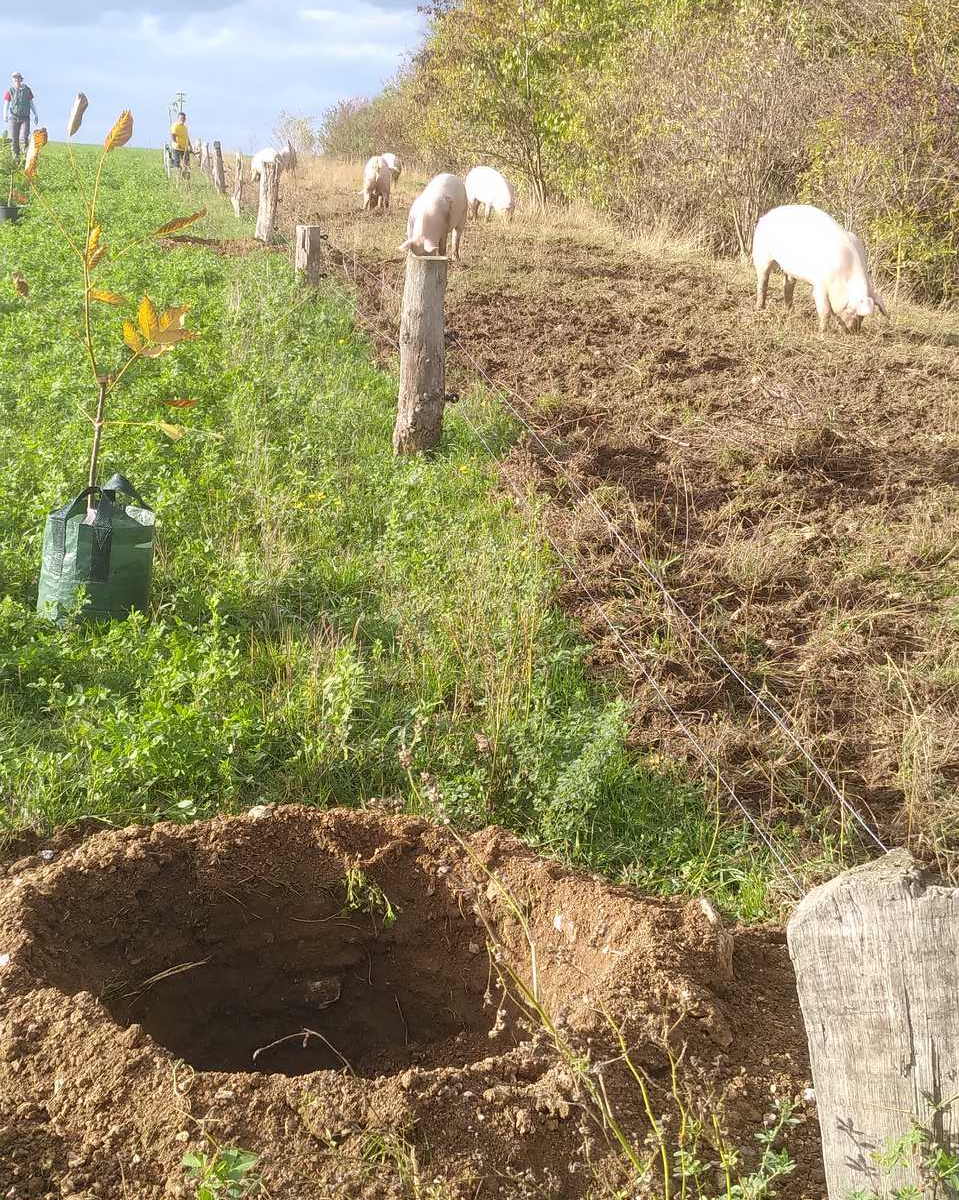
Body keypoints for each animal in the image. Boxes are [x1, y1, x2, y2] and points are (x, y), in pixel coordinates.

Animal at [753, 201, 888, 333]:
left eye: (863, 317)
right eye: (854, 311)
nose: (854, 331)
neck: (843, 277)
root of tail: (765, 216)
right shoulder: (820, 285)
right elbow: (825, 310)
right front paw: (822, 332)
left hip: (789, 270)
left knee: (788, 285)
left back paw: (790, 311)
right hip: (761, 255)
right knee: (763, 281)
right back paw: (760, 308)